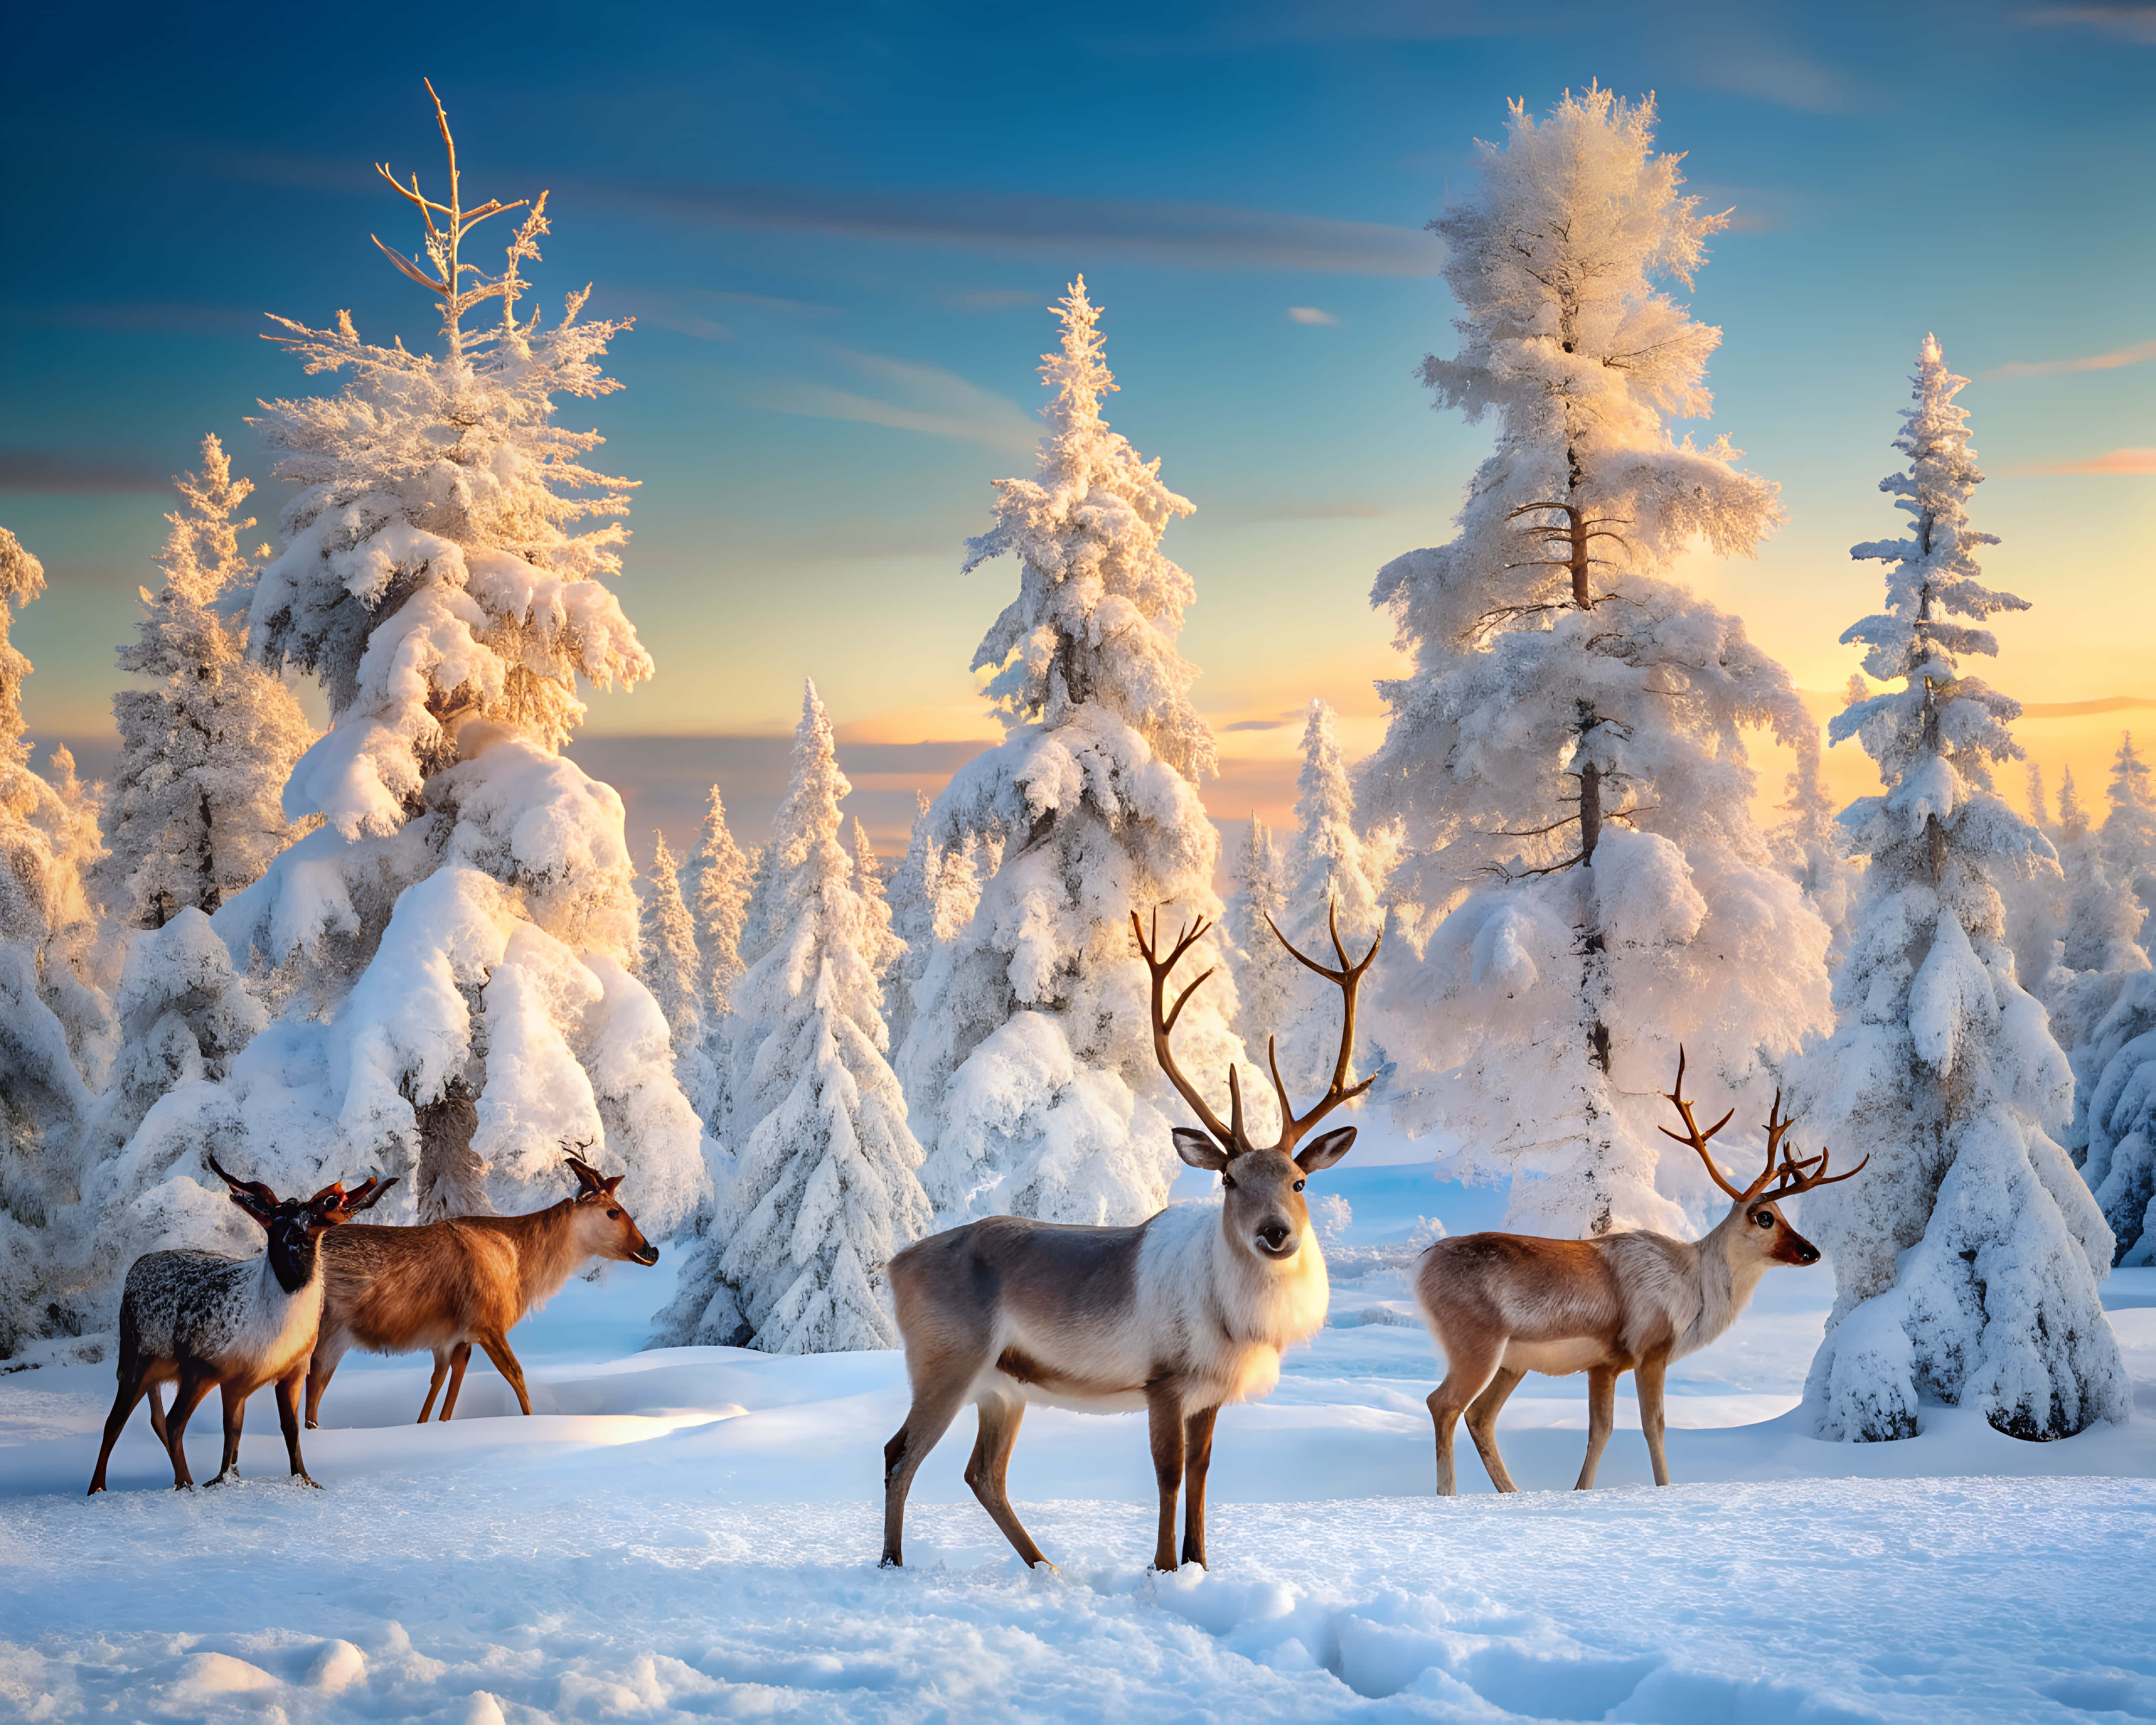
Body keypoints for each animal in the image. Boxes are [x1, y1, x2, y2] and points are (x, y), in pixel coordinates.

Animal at [88, 1159, 392, 1495]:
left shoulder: (289, 1372)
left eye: (309, 1230)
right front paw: (217, 1483)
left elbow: (283, 1430)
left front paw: (304, 1480)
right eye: (274, 1229)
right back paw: (122, 1488)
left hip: (162, 1370)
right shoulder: (213, 1371)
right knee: (135, 1422)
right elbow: (219, 1431)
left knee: (155, 1419)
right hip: (138, 1362)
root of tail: (134, 1270)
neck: (277, 1337)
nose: (293, 1273)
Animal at [303, 1151, 660, 1428]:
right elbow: (517, 1375)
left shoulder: (455, 1337)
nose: (652, 1250)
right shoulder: (488, 1321)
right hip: (329, 1332)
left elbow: (445, 1388)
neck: (523, 1275)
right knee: (311, 1392)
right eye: (613, 1212)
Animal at [880, 902, 1379, 1574]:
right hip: (946, 1360)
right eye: (1229, 1179)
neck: (1236, 1321)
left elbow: (1201, 1474)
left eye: (1299, 1182)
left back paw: (1045, 1566)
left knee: (983, 1474)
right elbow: (1168, 1474)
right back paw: (892, 1564)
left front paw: (1199, 1565)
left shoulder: (1209, 1392)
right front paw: (1164, 1568)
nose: (1274, 1233)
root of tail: (895, 1264)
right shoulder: (1163, 1380)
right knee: (900, 1453)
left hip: (1002, 1386)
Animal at [1415, 1049, 1867, 1496]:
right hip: (1476, 1342)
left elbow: (1601, 1431)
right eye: (1765, 1217)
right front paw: (1664, 1489)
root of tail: (1421, 1266)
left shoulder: (1604, 1364)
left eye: (1786, 1216)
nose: (1811, 1252)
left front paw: (1581, 1491)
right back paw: (1449, 1494)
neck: (1692, 1288)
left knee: (1480, 1417)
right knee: (1444, 1404)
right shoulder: (1651, 1347)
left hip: (1513, 1362)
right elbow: (1654, 1427)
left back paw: (1512, 1491)